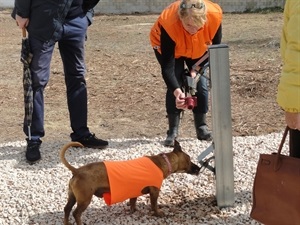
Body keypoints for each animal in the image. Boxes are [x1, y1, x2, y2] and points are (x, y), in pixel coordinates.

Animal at [59, 140, 199, 224]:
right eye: (189, 159)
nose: (198, 168)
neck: (164, 162)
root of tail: (77, 171)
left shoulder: (134, 192)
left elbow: (132, 202)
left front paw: (134, 210)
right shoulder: (154, 191)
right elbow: (154, 205)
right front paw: (158, 213)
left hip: (72, 197)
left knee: (67, 209)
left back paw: (66, 223)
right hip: (85, 199)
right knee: (76, 213)